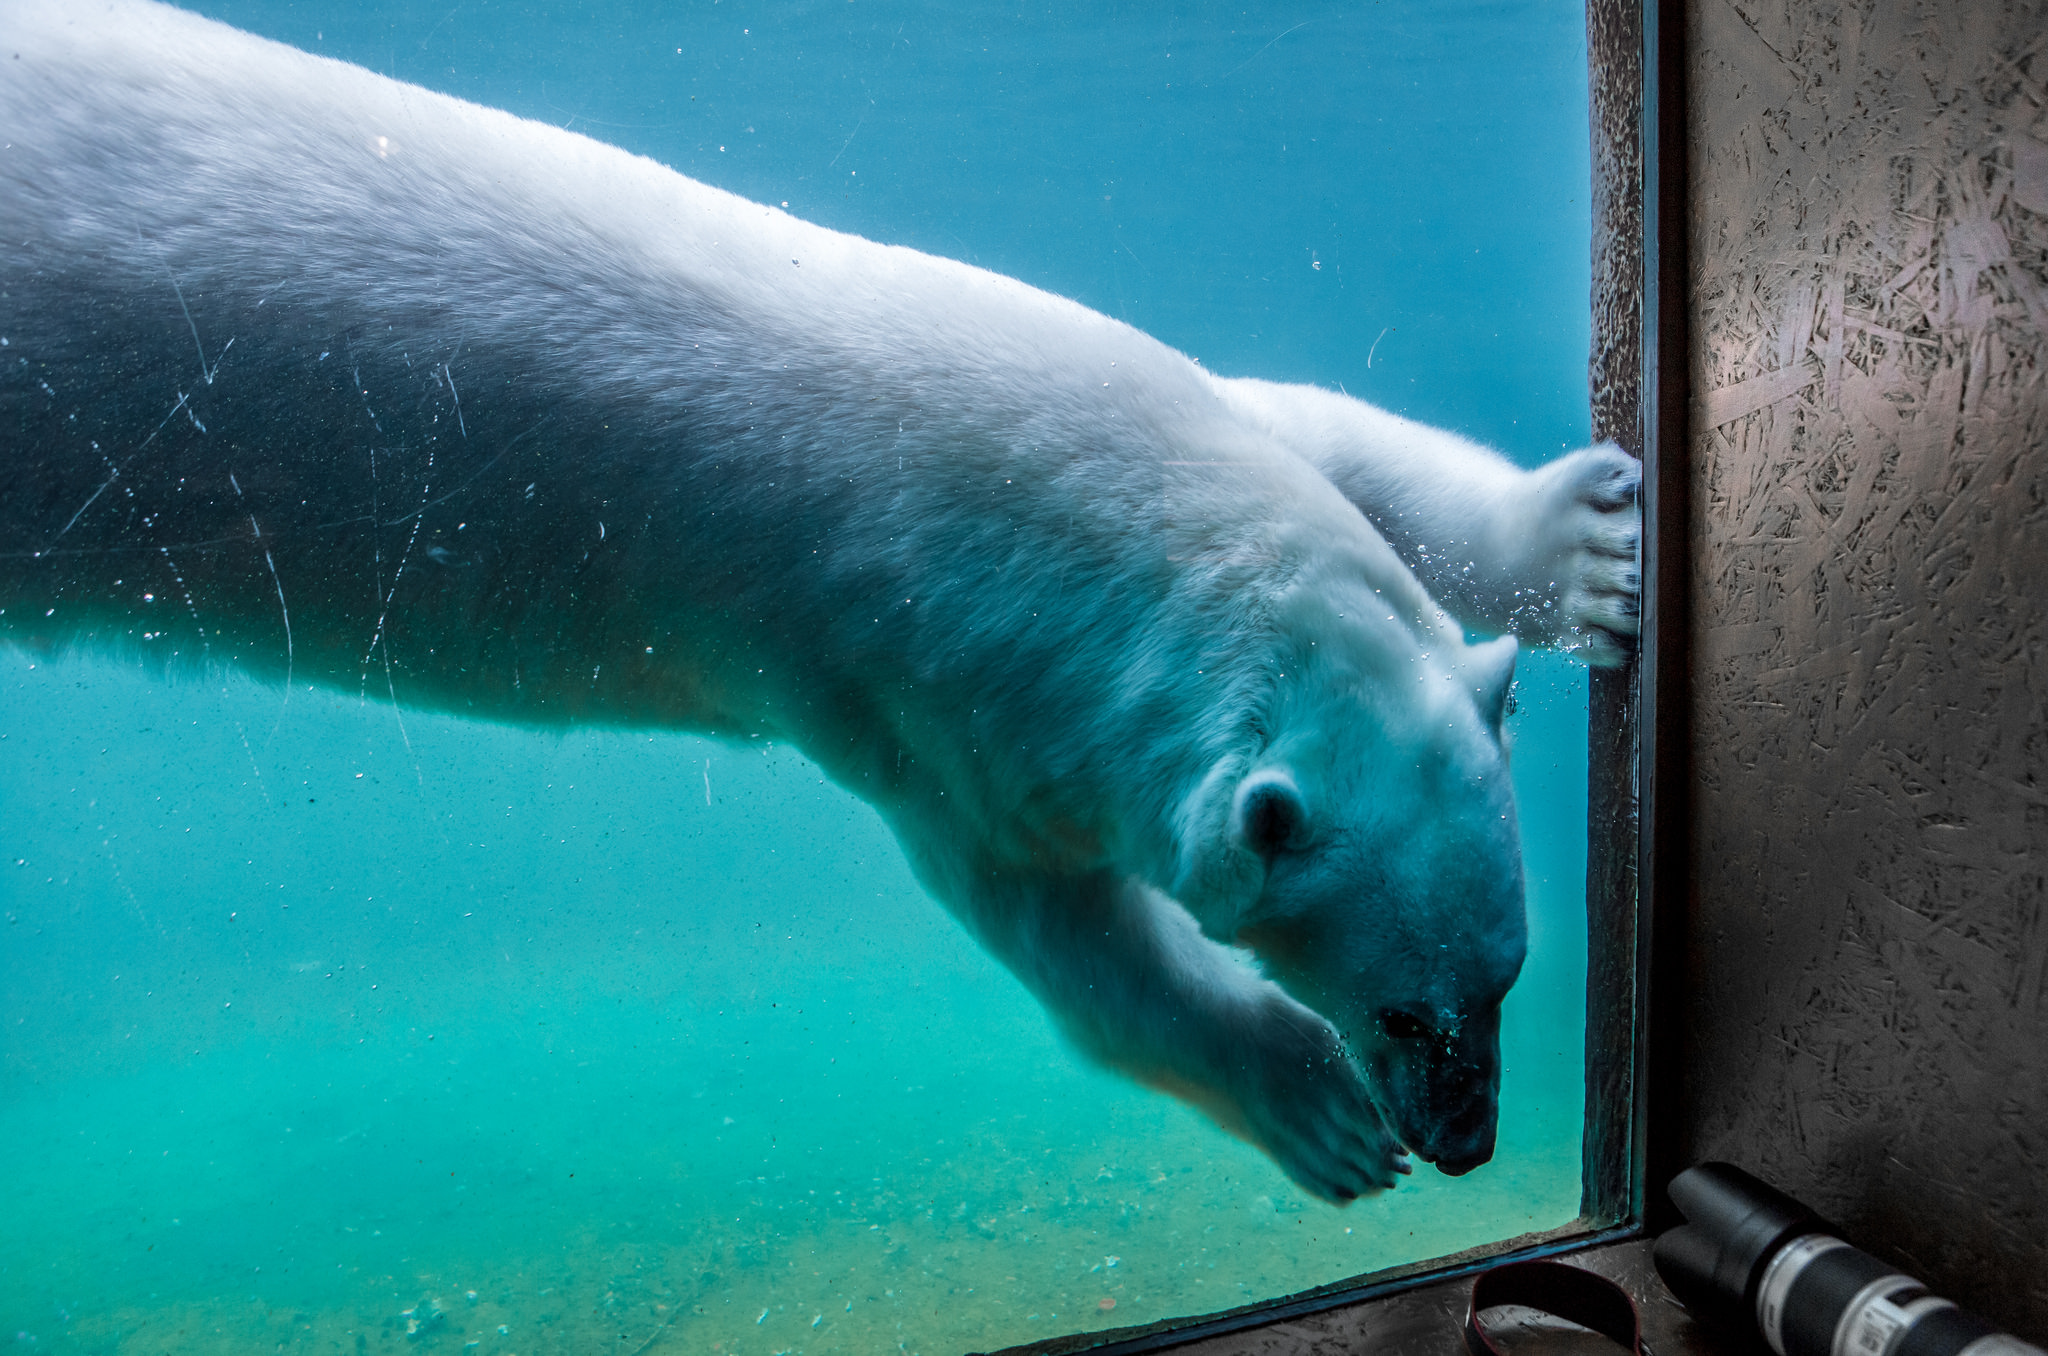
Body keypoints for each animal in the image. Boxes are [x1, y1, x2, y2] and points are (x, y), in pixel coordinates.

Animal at [0, 2, 1630, 1212]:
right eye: (1410, 1017)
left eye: (1509, 976)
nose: (1466, 1144)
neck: (995, 471)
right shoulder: (903, 690)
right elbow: (1065, 942)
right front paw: (1314, 1111)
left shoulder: (1133, 389)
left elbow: (1324, 428)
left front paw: (1591, 551)